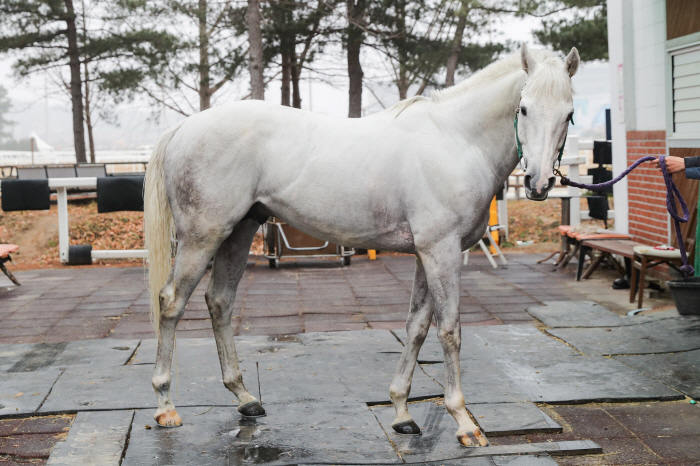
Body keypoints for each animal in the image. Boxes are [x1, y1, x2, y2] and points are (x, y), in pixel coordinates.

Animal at [144, 44, 580, 448]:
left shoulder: (426, 254)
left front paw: (402, 411)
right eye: (524, 109)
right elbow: (449, 330)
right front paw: (464, 422)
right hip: (203, 237)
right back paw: (165, 406)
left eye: (569, 114)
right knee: (171, 302)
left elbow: (417, 327)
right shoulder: (442, 251)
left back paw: (244, 397)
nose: (539, 183)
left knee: (219, 301)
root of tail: (183, 129)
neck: (457, 139)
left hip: (239, 231)